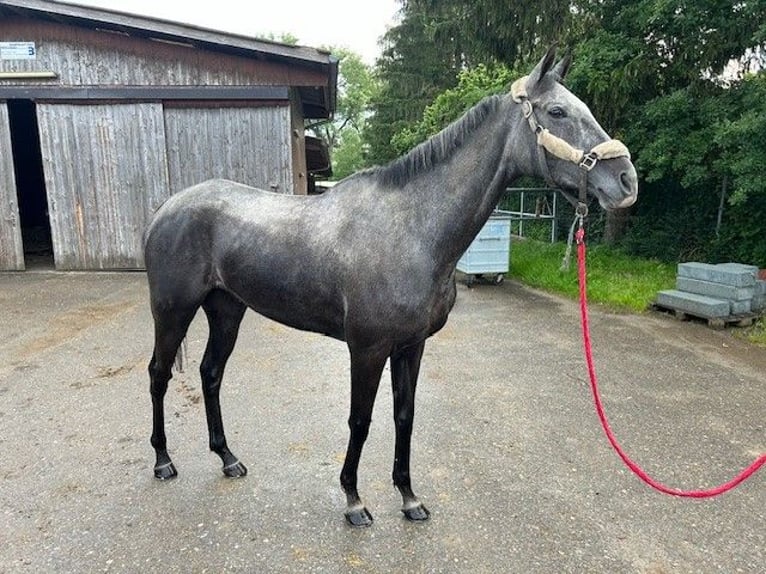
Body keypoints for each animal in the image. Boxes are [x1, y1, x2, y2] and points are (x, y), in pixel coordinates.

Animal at [146, 47, 640, 528]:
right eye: (557, 111)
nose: (626, 181)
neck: (412, 231)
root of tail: (166, 209)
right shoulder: (367, 348)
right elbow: (360, 421)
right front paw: (353, 501)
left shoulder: (411, 346)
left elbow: (405, 417)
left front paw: (408, 497)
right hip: (173, 311)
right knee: (158, 374)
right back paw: (163, 461)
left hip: (226, 309)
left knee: (210, 373)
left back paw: (228, 458)